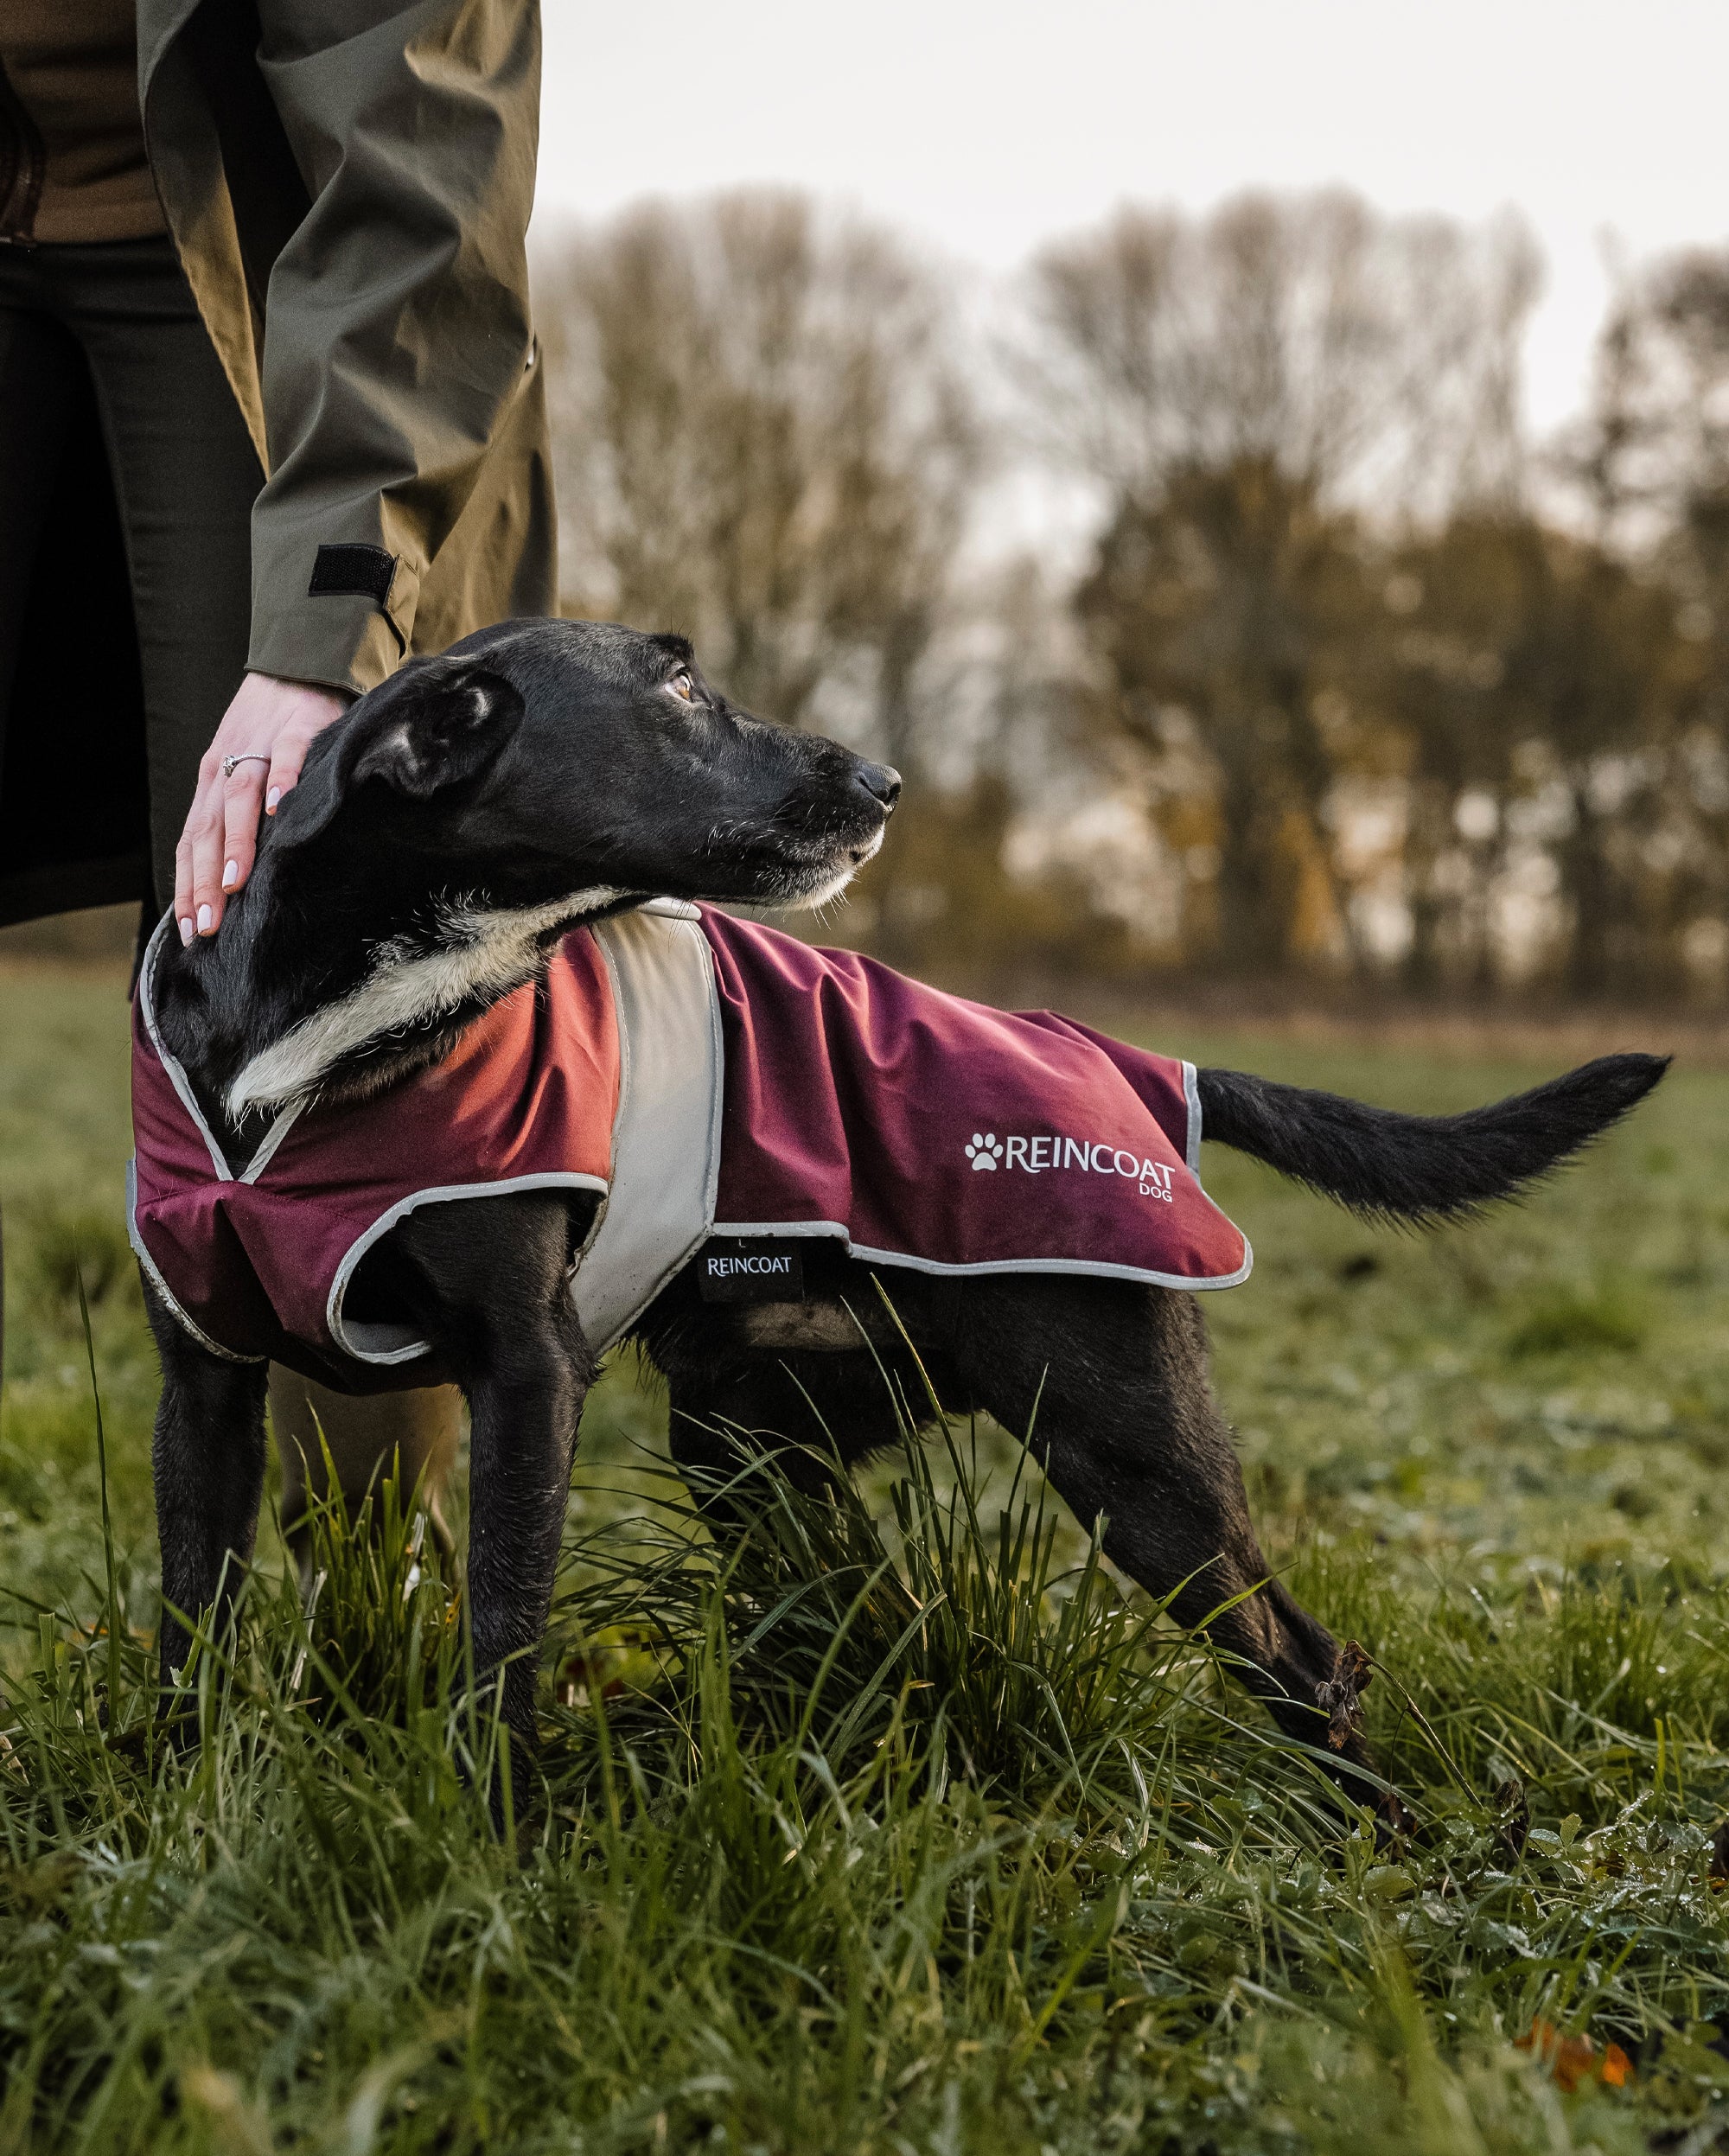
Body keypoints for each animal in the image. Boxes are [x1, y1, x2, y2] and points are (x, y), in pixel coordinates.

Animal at [141, 625, 1664, 1819]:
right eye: (676, 683)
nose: (885, 780)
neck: (336, 1019)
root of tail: (1125, 1058)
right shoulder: (206, 1379)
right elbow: (190, 1614)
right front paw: (168, 1809)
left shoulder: (528, 1369)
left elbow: (502, 1627)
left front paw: (496, 1844)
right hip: (756, 1442)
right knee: (889, 1618)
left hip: (1128, 1448)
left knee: (1302, 1653)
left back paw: (1385, 1848)